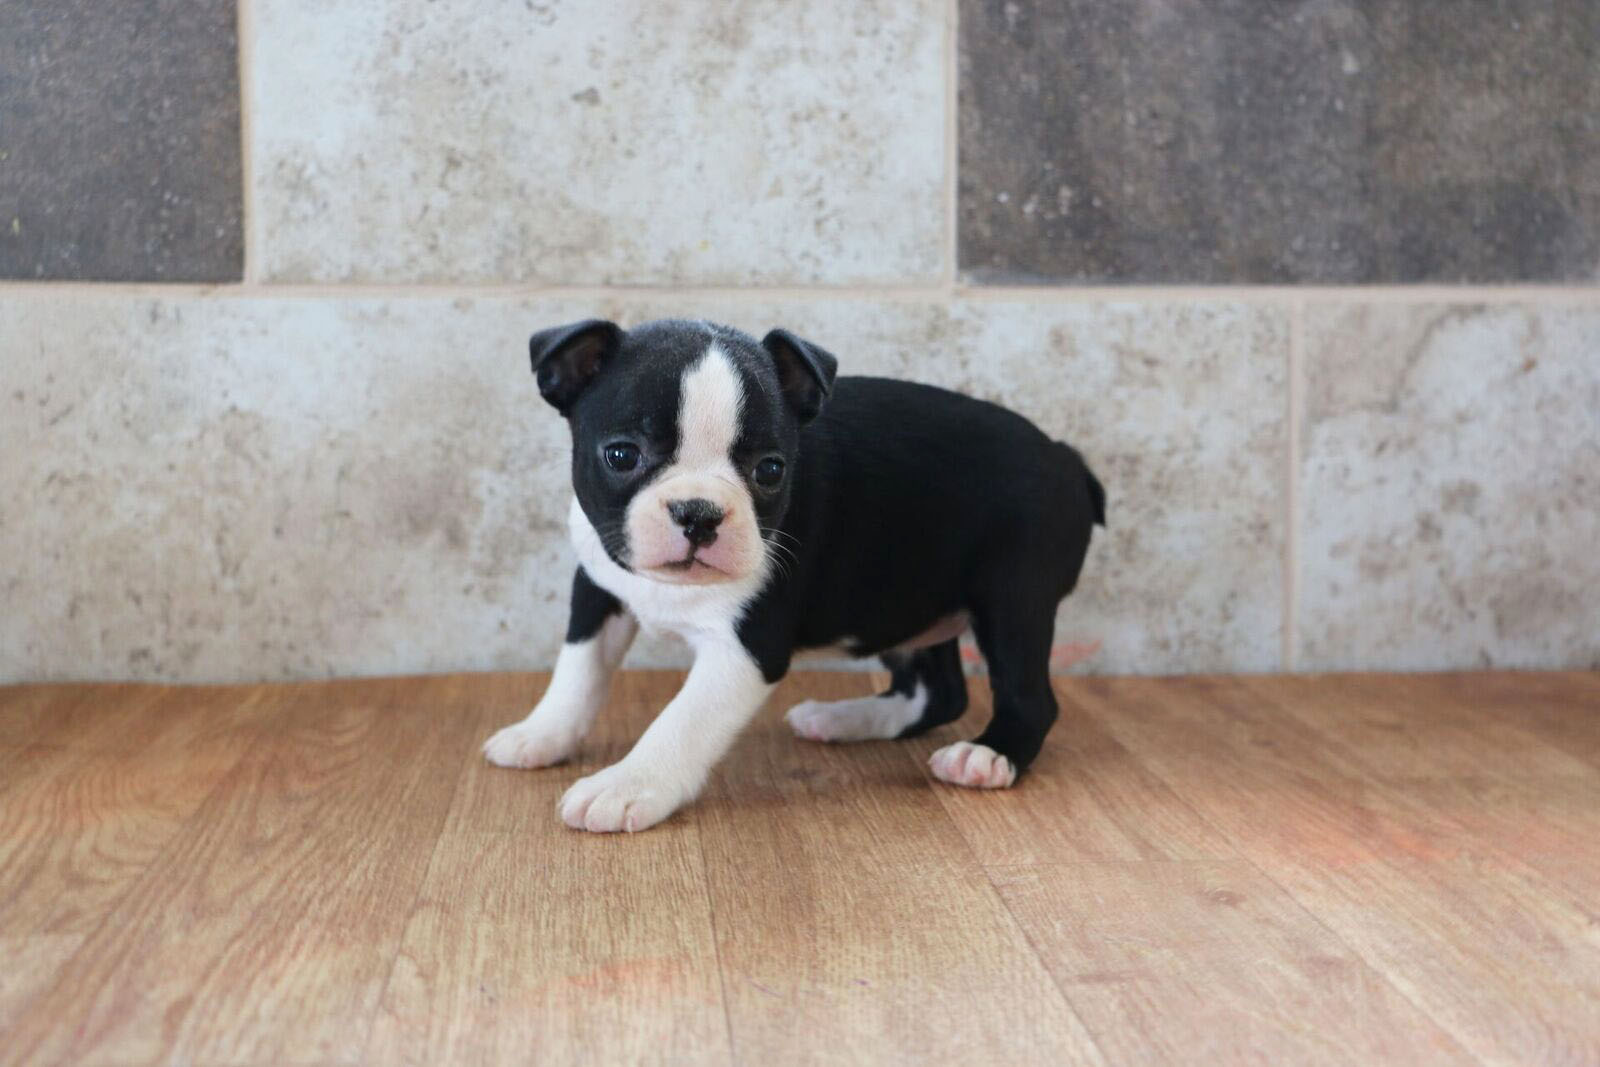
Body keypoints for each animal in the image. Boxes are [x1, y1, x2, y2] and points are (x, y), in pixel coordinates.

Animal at [480, 316, 1107, 831]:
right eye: (621, 455)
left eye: (770, 470)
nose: (698, 512)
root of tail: (1067, 457)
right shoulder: (597, 588)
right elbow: (577, 670)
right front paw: (542, 734)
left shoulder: (746, 648)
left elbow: (681, 718)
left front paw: (628, 784)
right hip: (909, 600)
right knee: (938, 692)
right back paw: (847, 718)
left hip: (1013, 600)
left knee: (1028, 697)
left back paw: (985, 756)